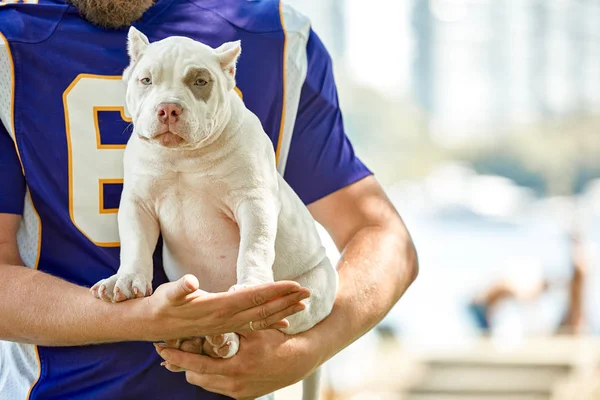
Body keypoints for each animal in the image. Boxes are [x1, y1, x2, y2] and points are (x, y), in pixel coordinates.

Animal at [92, 26, 340, 398]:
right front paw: (125, 280)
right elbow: (135, 245)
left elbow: (254, 247)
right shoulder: (137, 203)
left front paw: (251, 284)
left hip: (315, 289)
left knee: (269, 326)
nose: (168, 109)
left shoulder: (253, 201)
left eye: (200, 81)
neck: (184, 156)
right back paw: (200, 340)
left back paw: (224, 339)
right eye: (146, 80)